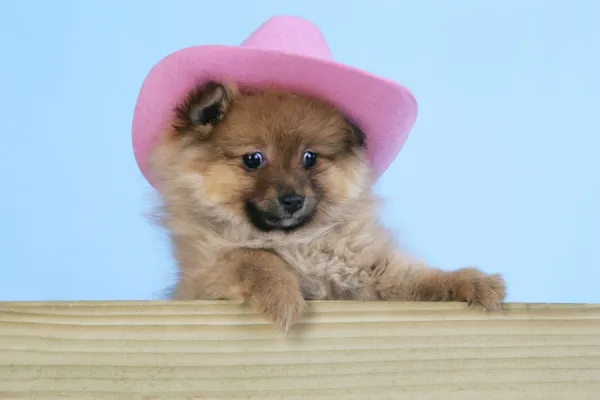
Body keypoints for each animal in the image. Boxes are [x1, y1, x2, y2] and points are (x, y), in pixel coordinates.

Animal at [149, 80, 506, 332]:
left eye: (310, 158)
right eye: (253, 159)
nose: (293, 199)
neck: (298, 242)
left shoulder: (369, 276)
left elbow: (418, 279)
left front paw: (469, 281)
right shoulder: (204, 275)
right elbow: (252, 257)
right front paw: (281, 294)